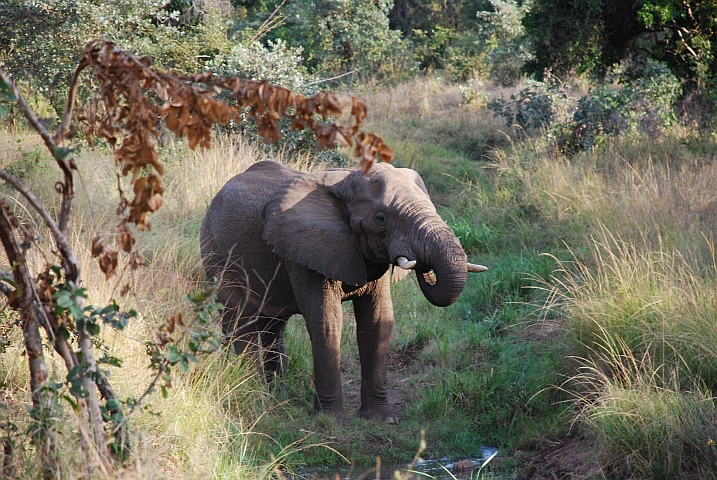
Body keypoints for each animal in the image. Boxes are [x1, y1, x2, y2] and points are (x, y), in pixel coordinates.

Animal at [199, 159, 484, 422]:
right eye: (381, 219)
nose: (422, 264)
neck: (345, 179)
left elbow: (378, 320)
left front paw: (380, 419)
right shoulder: (306, 247)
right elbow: (327, 320)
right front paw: (331, 420)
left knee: (273, 326)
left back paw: (276, 396)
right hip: (216, 251)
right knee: (241, 321)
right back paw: (254, 392)